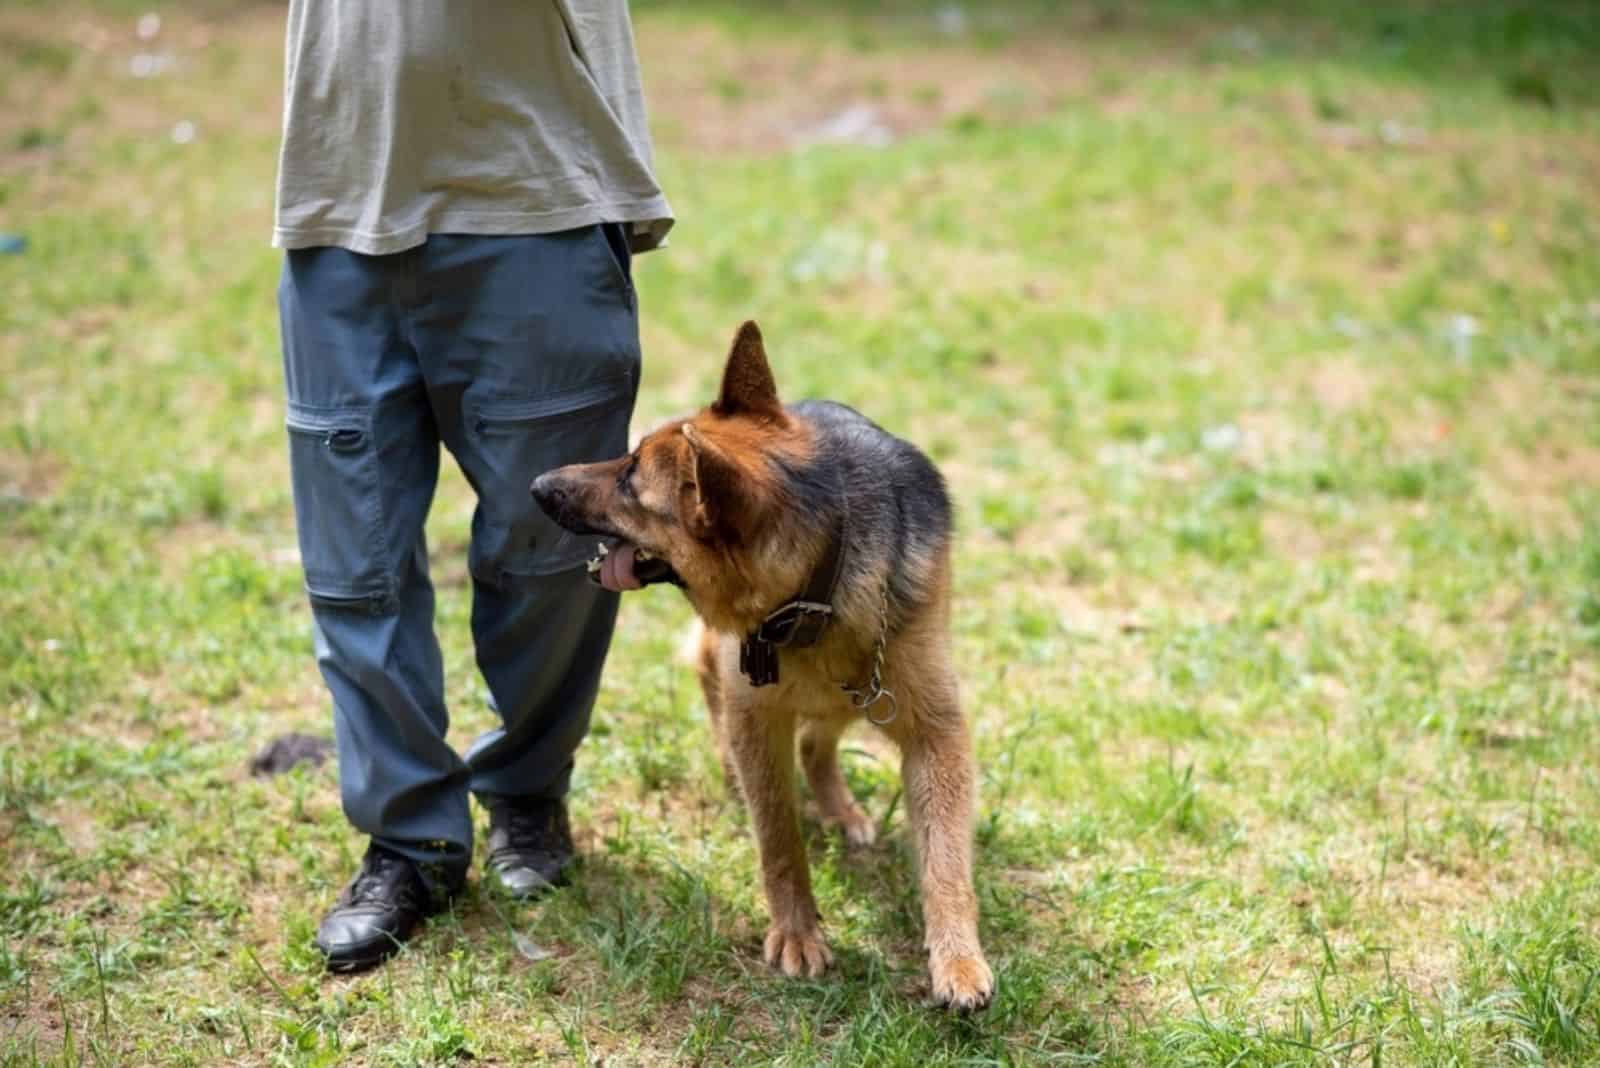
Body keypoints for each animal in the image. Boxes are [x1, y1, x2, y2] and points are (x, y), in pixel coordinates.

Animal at [531, 321, 992, 1004]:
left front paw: (958, 959)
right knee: (723, 701)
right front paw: (798, 931)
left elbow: (946, 860)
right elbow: (778, 835)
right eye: (626, 458)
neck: (819, 583)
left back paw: (841, 810)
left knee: (817, 744)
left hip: (857, 692)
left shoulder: (936, 733)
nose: (537, 484)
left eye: (630, 479)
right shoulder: (755, 714)